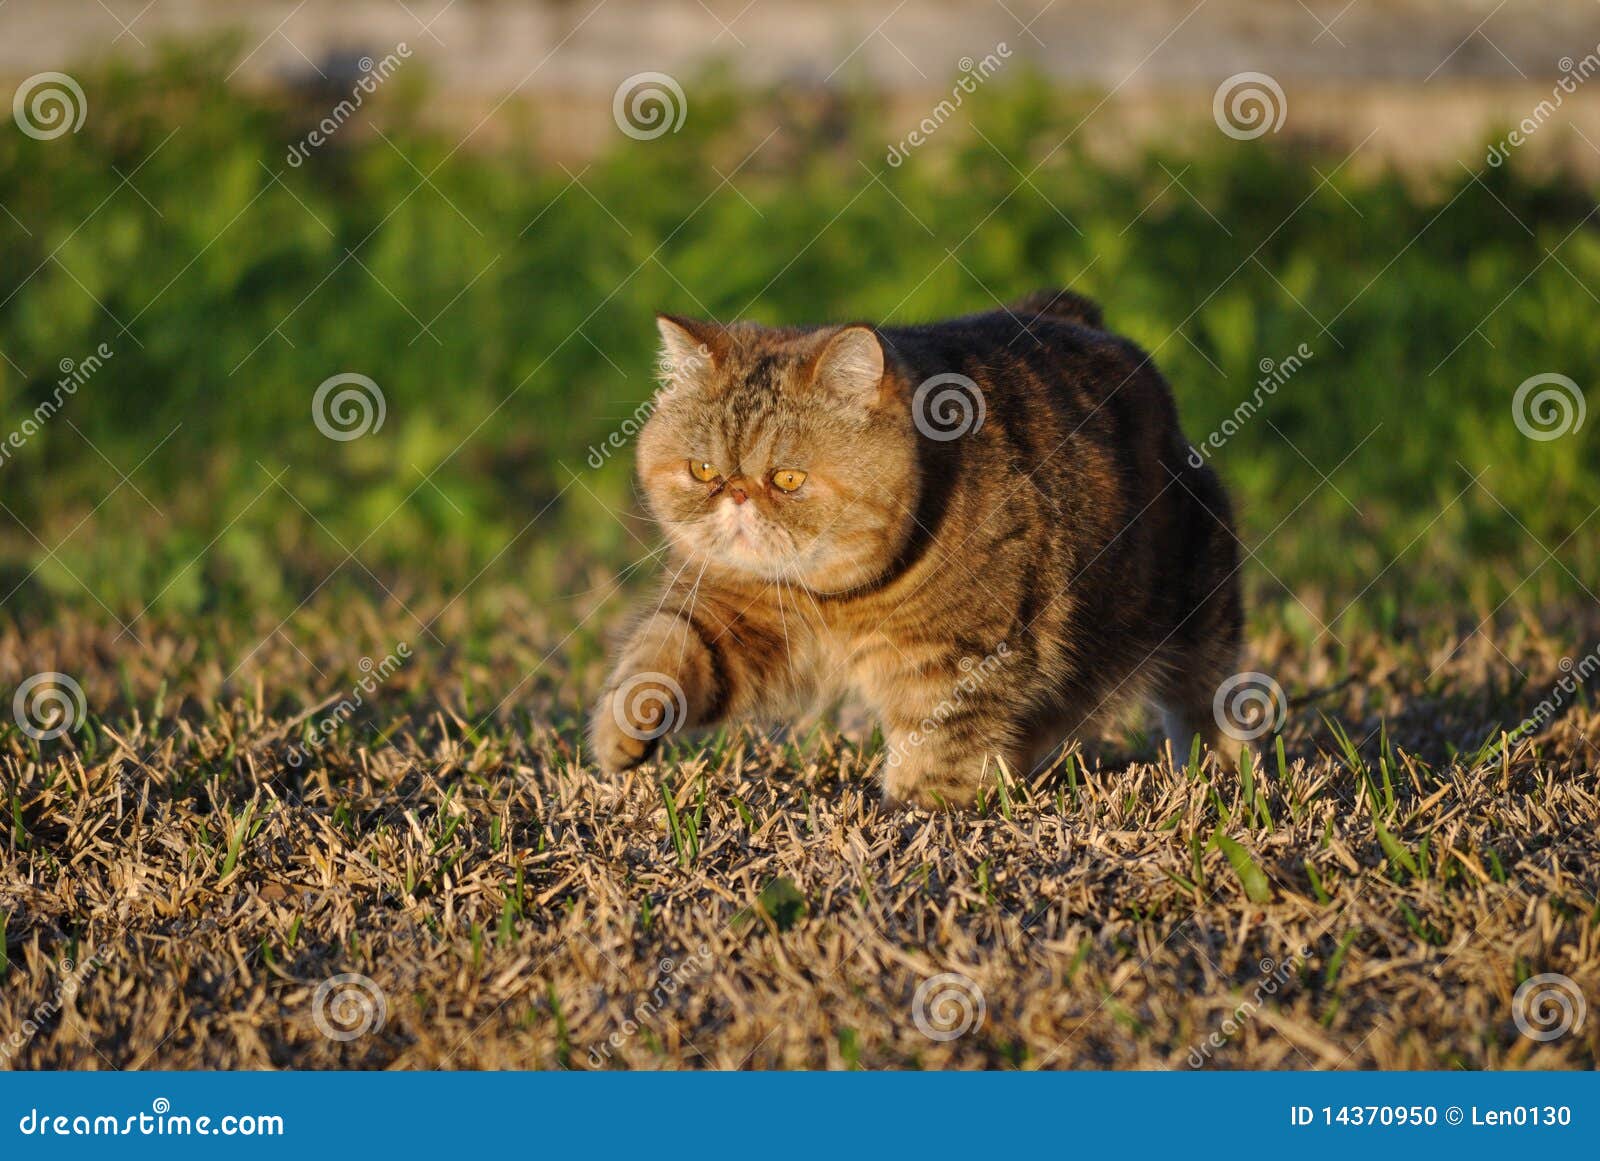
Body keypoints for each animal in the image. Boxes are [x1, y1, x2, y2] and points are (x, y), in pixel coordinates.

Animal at [595, 291, 1241, 809]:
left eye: (787, 479)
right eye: (702, 470)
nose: (734, 494)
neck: (829, 598)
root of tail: (1067, 311)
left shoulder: (956, 657)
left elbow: (939, 741)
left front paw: (917, 809)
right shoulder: (728, 614)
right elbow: (662, 652)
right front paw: (619, 731)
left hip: (1198, 613)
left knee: (1208, 701)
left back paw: (1224, 775)